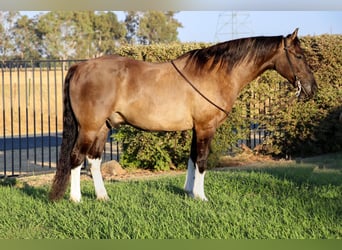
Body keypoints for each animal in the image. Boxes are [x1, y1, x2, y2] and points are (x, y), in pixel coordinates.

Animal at [48, 28, 318, 202]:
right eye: (299, 56)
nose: (312, 88)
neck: (215, 74)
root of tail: (79, 66)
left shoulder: (196, 128)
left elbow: (192, 159)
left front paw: (189, 192)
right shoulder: (206, 127)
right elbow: (202, 160)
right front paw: (201, 197)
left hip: (103, 127)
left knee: (93, 160)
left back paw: (103, 197)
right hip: (89, 127)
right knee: (75, 158)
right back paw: (76, 199)